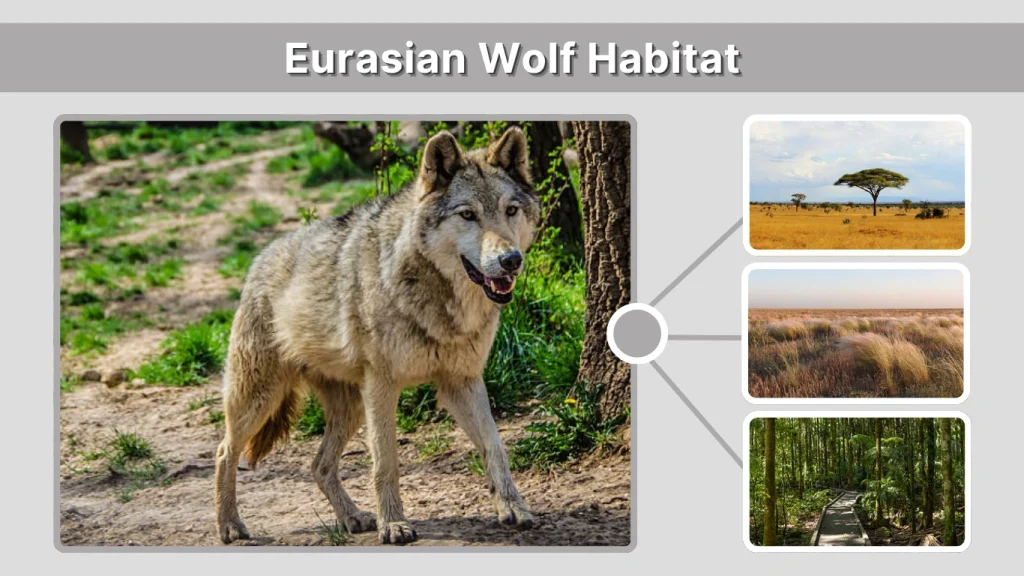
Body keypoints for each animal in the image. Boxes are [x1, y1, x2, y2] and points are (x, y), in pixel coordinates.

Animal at [214, 127, 539, 545]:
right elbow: (387, 463)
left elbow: (495, 447)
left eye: (510, 210)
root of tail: (259, 259)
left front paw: (513, 507)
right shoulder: (383, 385)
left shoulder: (462, 381)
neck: (435, 297)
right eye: (468, 215)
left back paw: (352, 518)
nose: (511, 260)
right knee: (224, 452)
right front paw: (395, 525)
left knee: (319, 464)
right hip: (259, 399)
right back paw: (229, 524)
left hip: (351, 406)